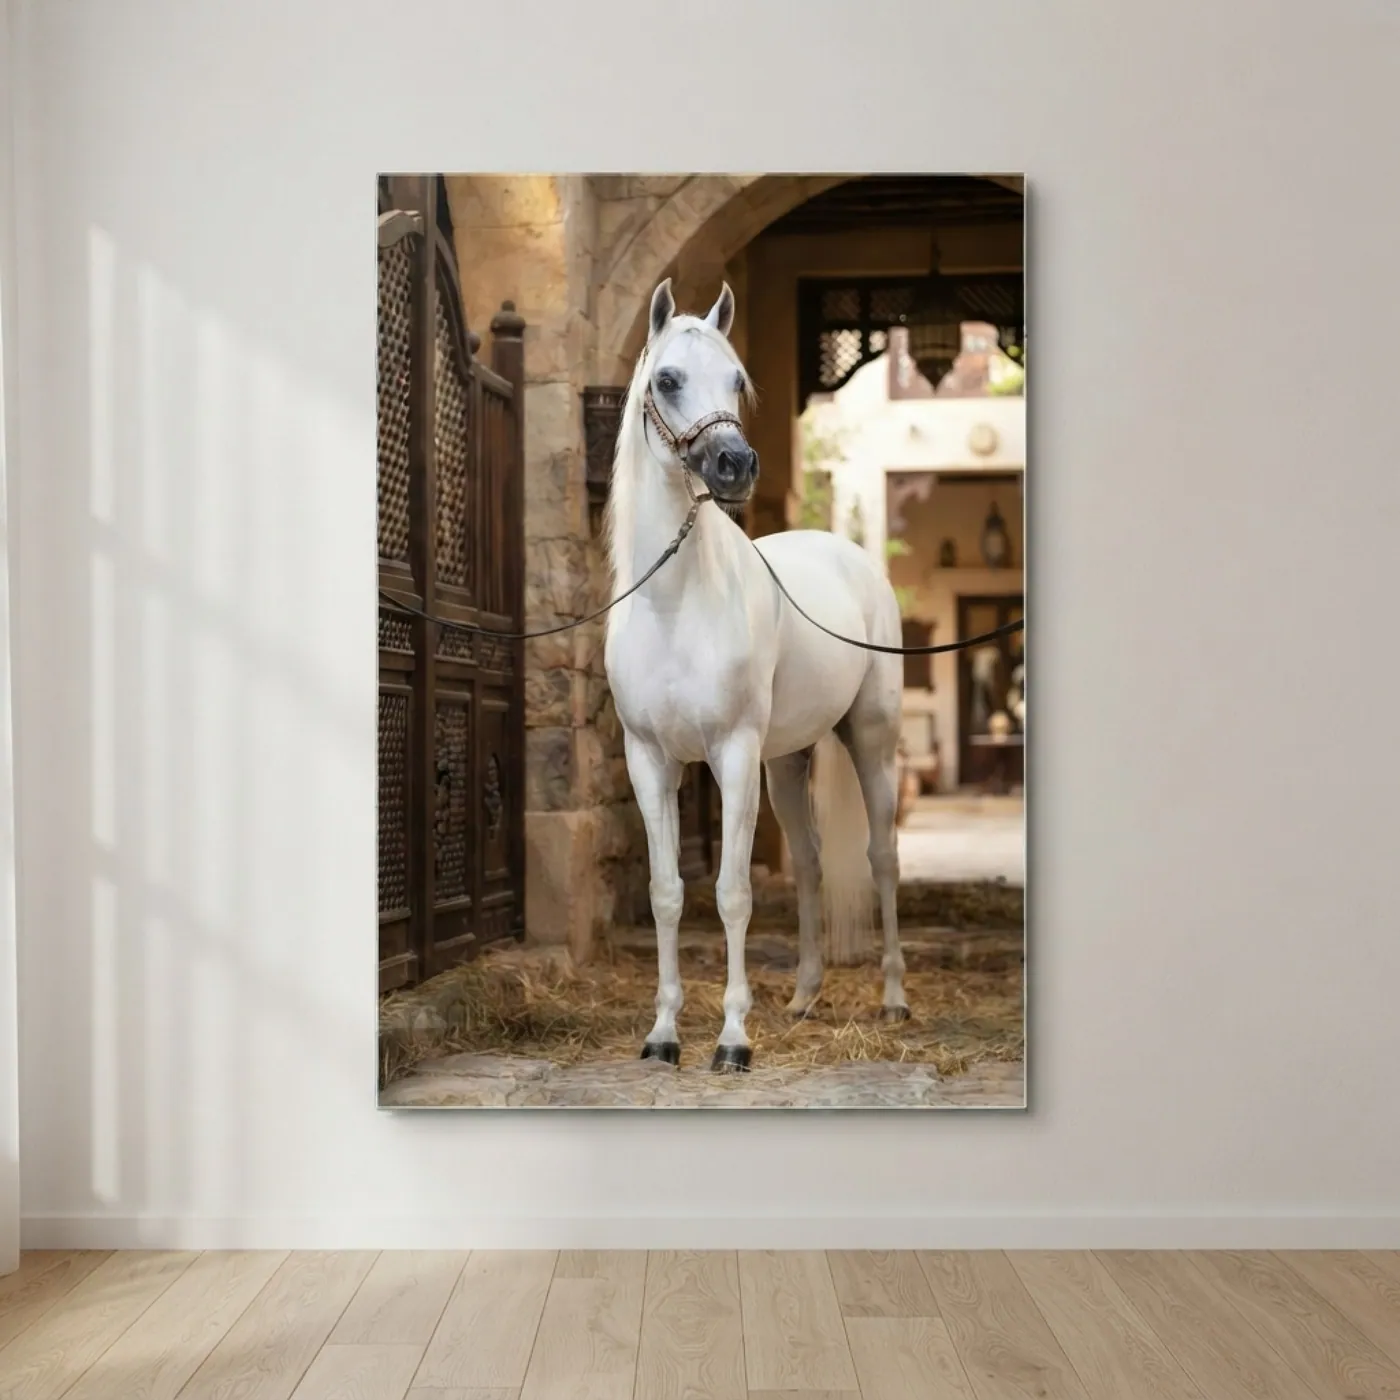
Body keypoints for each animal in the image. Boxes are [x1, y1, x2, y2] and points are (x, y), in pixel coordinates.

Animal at [603, 278, 907, 1072]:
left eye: (737, 380)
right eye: (667, 380)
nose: (735, 466)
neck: (673, 604)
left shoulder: (733, 755)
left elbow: (733, 893)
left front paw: (733, 1039)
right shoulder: (650, 760)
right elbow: (668, 893)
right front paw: (663, 1034)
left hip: (870, 742)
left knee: (883, 857)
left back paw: (895, 998)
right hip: (788, 763)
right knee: (809, 864)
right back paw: (803, 997)